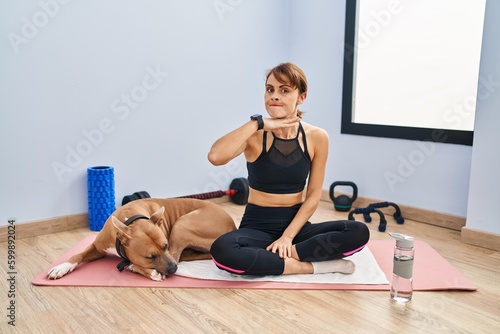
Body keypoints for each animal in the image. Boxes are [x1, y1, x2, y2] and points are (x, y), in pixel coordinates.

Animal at [47, 198, 234, 282]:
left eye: (165, 246)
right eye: (150, 257)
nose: (173, 269)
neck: (130, 219)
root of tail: (232, 225)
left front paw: (144, 270)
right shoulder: (97, 247)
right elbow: (77, 254)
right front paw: (61, 267)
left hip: (181, 225)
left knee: (177, 255)